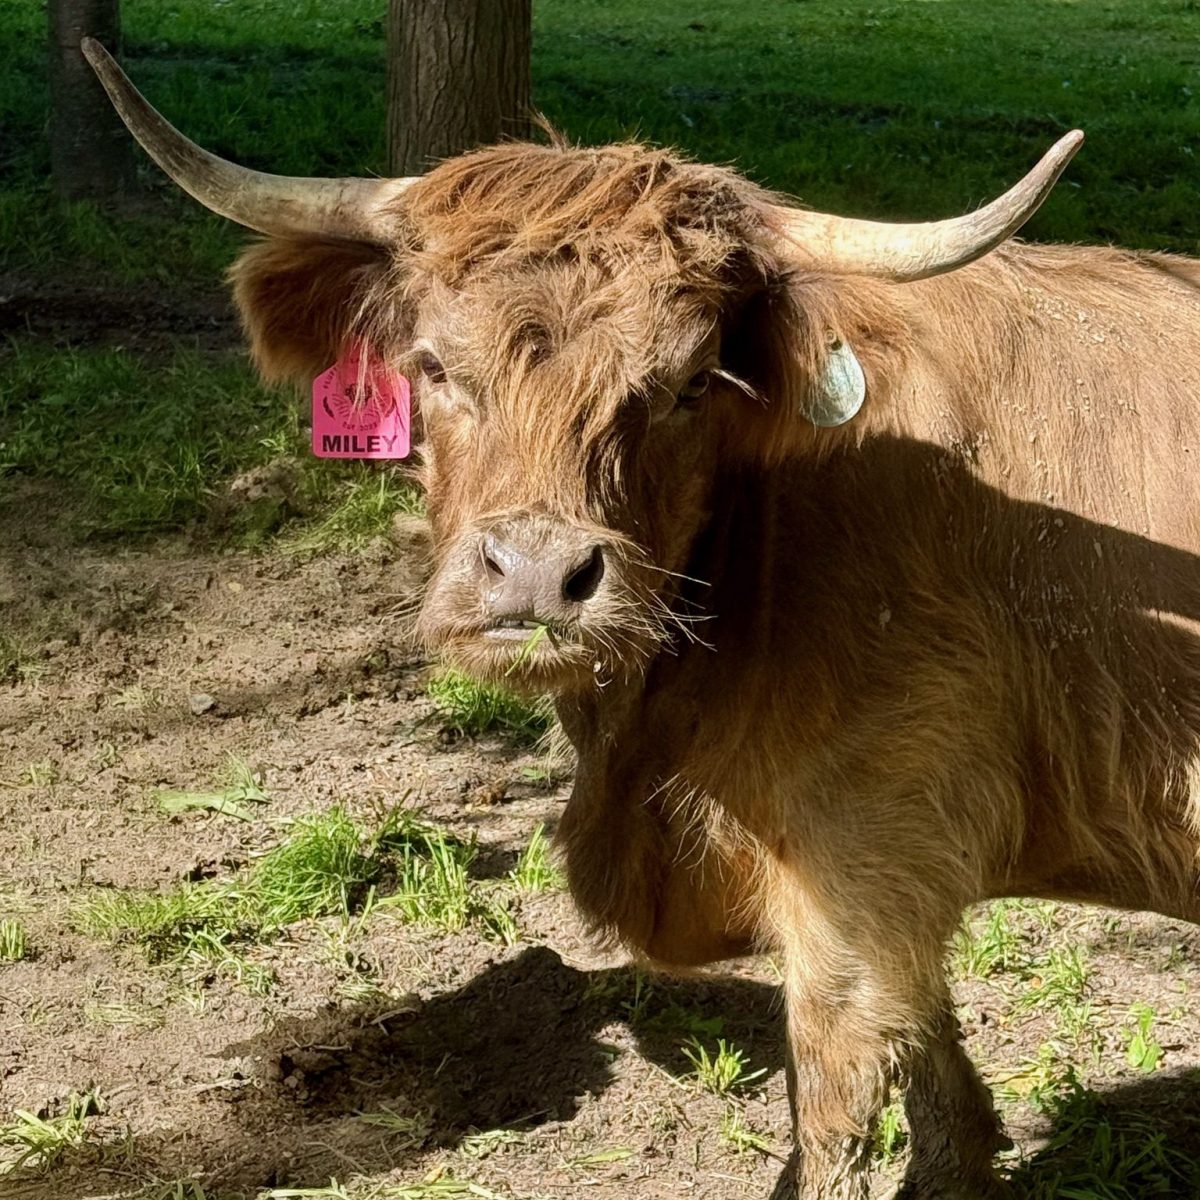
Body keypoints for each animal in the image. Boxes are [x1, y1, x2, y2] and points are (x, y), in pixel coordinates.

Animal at [85, 39, 1200, 1200]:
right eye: (433, 364)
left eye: (687, 383)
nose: (537, 576)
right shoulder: (892, 872)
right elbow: (935, 1064)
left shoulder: (866, 846)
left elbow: (839, 1099)